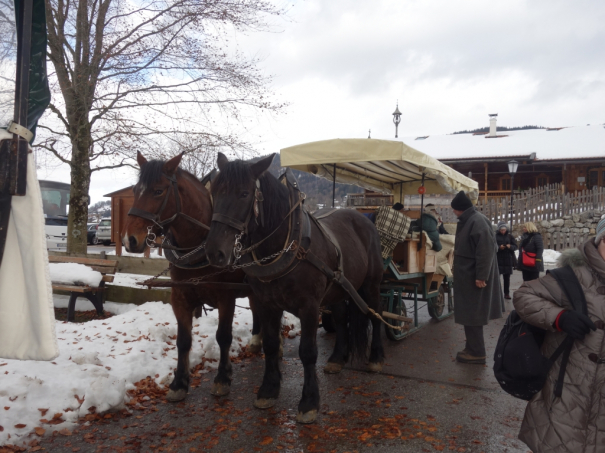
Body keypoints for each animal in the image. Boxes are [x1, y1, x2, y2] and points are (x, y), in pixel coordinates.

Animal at [124, 151, 264, 400]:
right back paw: (256, 341)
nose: (130, 240)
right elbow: (183, 340)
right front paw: (179, 382)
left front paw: (222, 377)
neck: (199, 243)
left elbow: (223, 336)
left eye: (158, 191)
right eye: (135, 190)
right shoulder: (180, 296)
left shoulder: (225, 297)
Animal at [203, 153, 382, 424]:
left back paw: (376, 358)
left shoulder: (309, 306)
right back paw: (337, 359)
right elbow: (270, 345)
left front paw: (309, 402)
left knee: (376, 313)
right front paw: (268, 390)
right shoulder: (267, 303)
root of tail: (363, 219)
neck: (285, 245)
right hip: (338, 288)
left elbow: (307, 352)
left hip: (370, 285)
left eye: (244, 193)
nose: (215, 252)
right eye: (214, 192)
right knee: (342, 319)